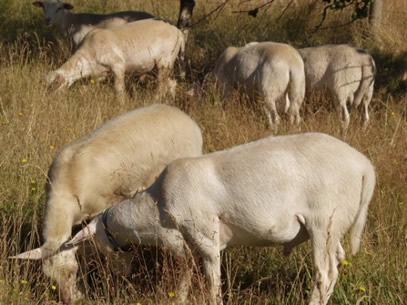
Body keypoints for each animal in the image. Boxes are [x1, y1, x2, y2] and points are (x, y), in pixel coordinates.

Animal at [10, 103, 204, 304]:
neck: (66, 192)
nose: (69, 300)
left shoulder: (102, 209)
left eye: (72, 270)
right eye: (50, 277)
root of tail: (181, 114)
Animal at [47, 18, 187, 102]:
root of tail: (178, 32)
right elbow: (85, 89)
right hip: (164, 63)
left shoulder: (118, 65)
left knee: (161, 85)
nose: (50, 99)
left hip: (165, 60)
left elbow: (118, 89)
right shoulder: (100, 74)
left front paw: (121, 105)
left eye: (54, 85)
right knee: (171, 83)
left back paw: (154, 100)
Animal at [67, 132, 376, 304]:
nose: (118, 275)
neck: (156, 207)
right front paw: (180, 300)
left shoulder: (205, 236)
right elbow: (185, 277)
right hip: (336, 225)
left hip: (323, 221)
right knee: (337, 262)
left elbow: (213, 281)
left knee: (325, 273)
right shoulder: (187, 243)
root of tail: (364, 166)